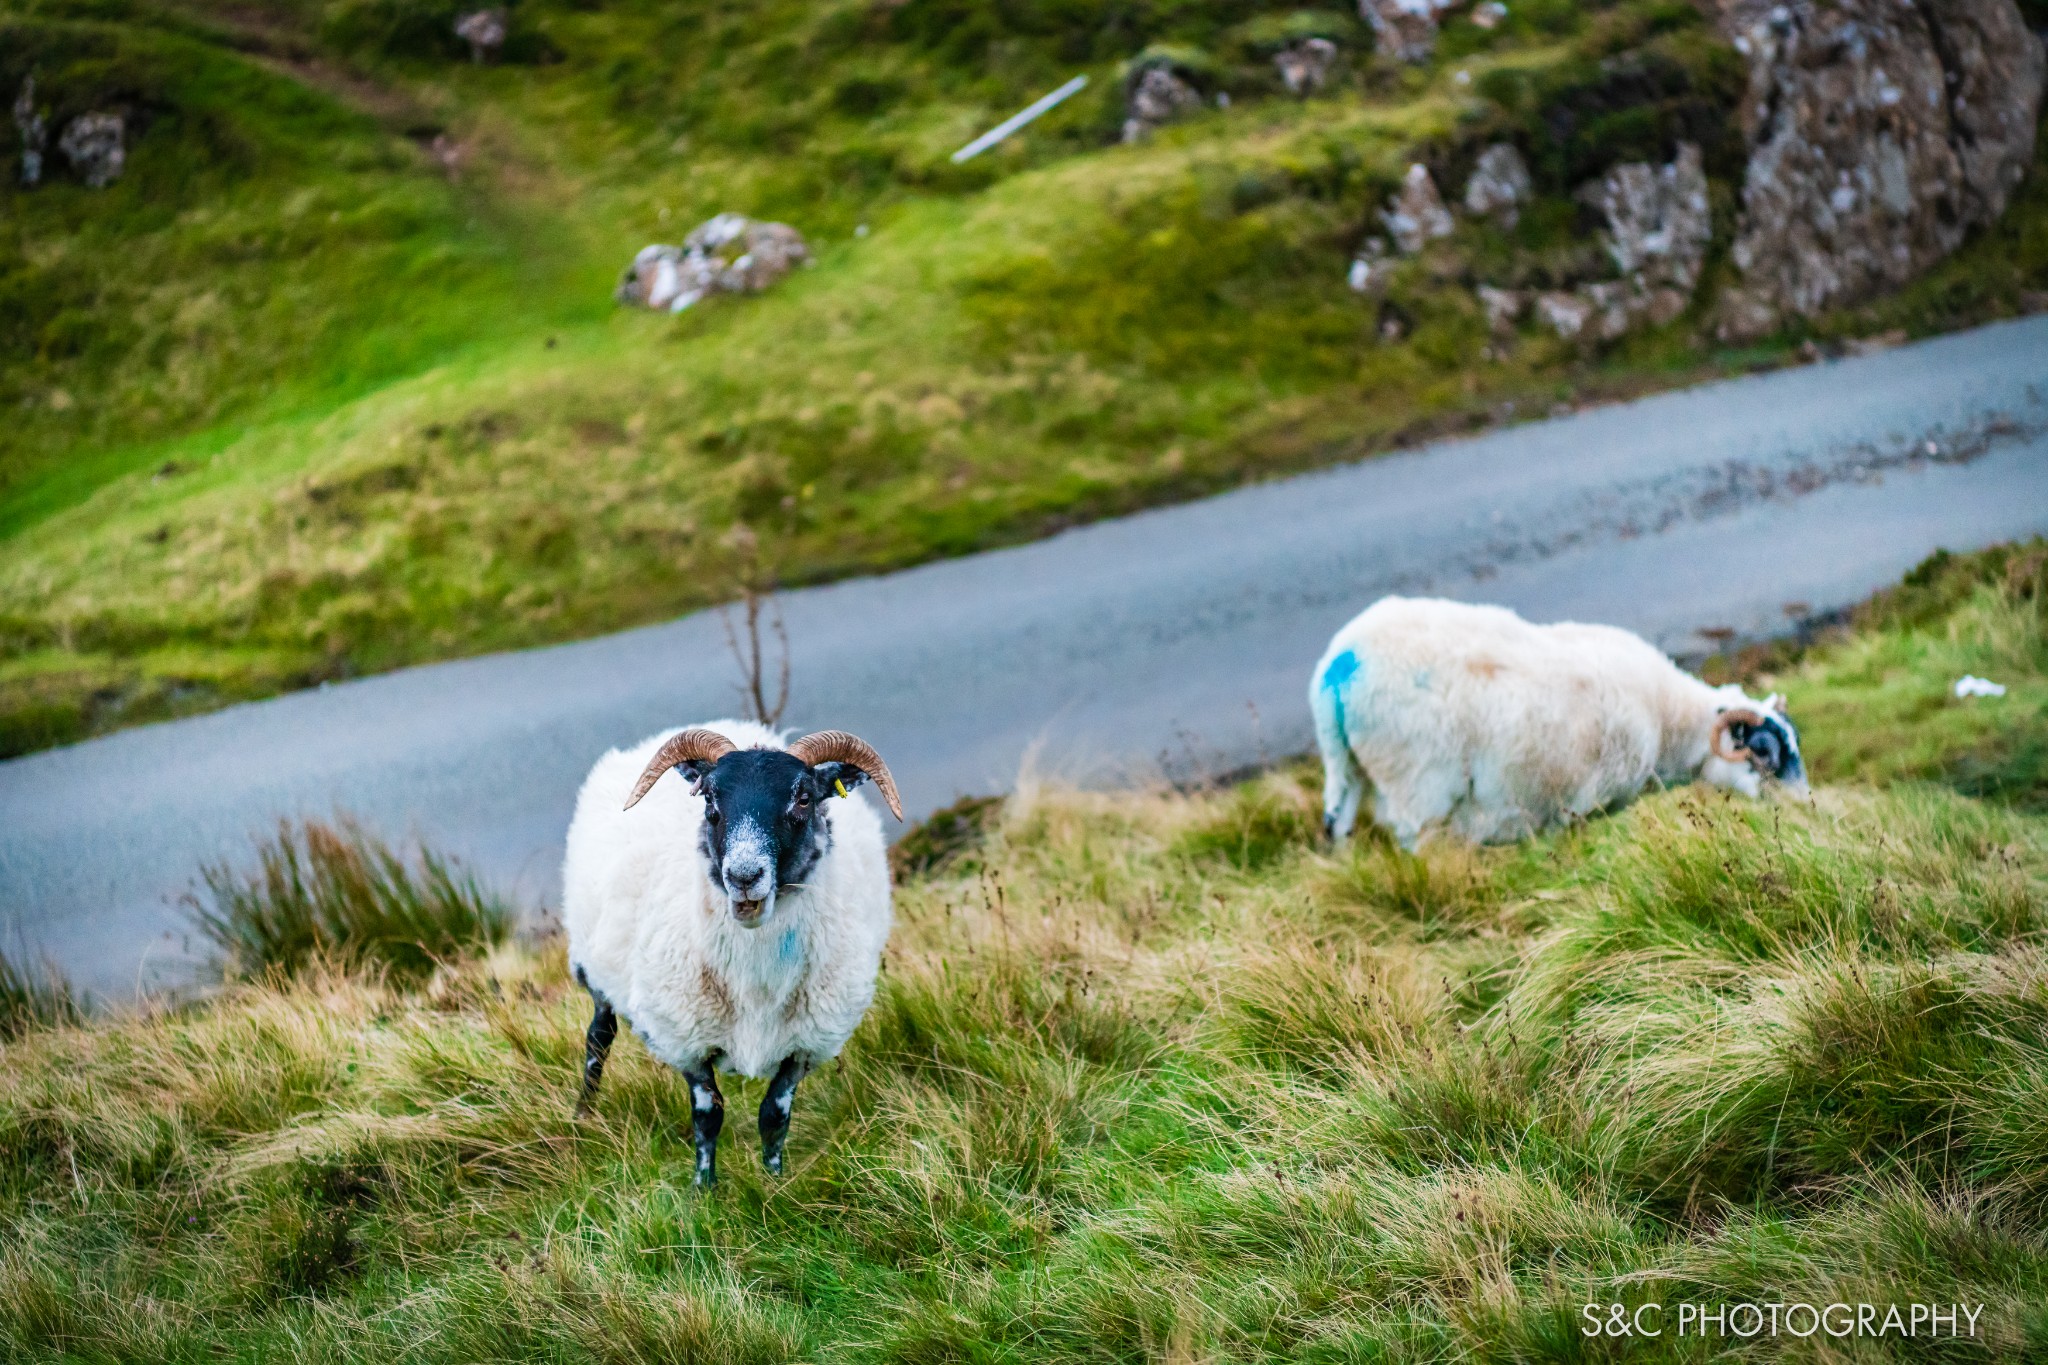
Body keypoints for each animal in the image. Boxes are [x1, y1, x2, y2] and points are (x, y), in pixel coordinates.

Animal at [569, 724, 905, 1186]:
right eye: (709, 799)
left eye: (805, 797)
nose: (744, 876)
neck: (756, 980)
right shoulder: (688, 1037)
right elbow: (708, 1116)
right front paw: (704, 1189)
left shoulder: (805, 1044)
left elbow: (774, 1117)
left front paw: (774, 1183)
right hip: (596, 970)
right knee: (597, 1041)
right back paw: (583, 1117)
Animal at [1310, 597, 1810, 843]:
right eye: (1762, 752)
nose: (1807, 806)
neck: (1670, 720)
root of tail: (1341, 665)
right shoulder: (1578, 803)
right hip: (1420, 784)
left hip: (1344, 767)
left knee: (1337, 828)